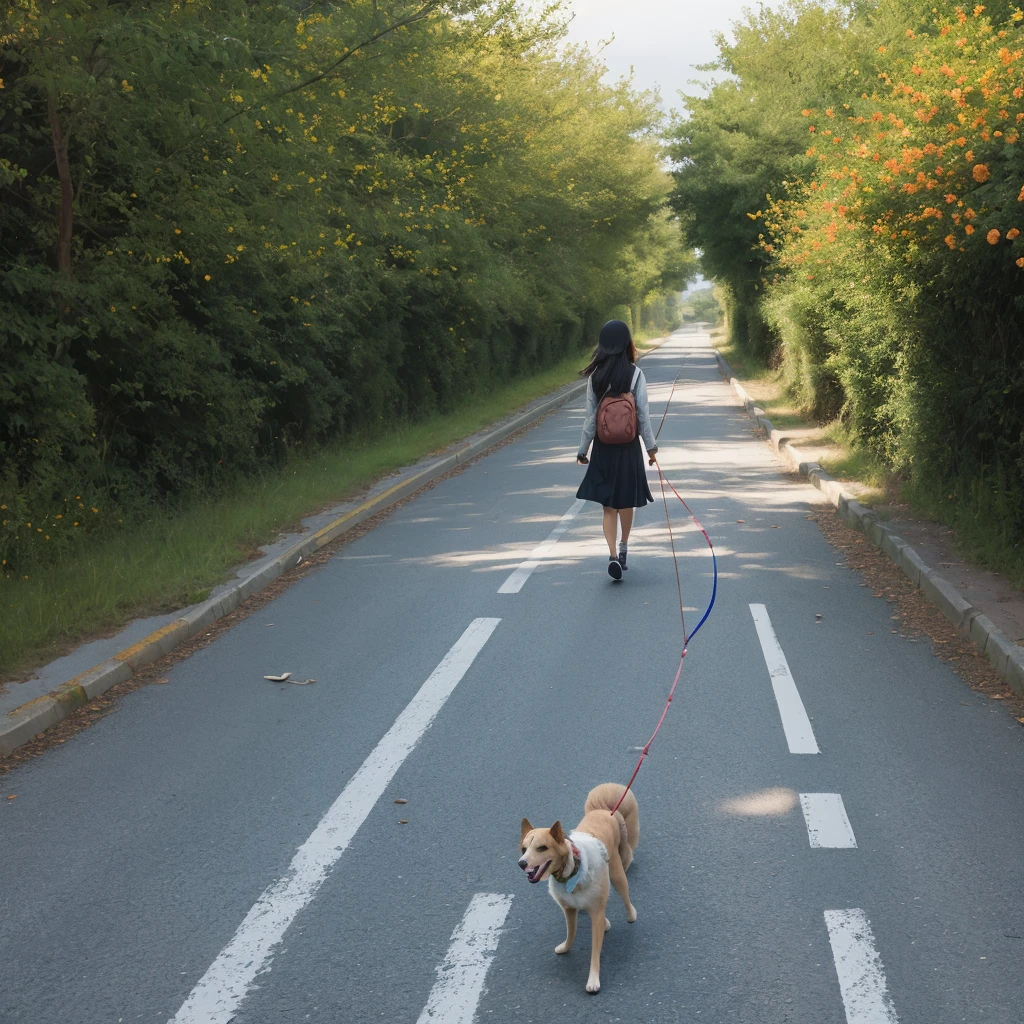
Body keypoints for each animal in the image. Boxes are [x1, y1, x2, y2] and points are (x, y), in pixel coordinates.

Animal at [520, 782, 638, 991]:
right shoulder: (569, 908)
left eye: (541, 848)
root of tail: (605, 810)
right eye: (524, 849)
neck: (571, 871)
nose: (522, 863)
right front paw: (566, 948)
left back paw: (631, 914)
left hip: (617, 874)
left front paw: (593, 979)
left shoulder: (596, 911)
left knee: (625, 896)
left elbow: (595, 951)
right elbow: (571, 933)